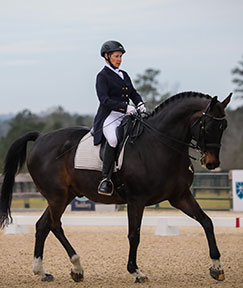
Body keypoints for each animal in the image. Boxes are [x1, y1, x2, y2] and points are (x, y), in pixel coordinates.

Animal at [0, 91, 232, 282]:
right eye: (207, 126)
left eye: (224, 127)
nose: (212, 163)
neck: (160, 144)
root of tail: (40, 138)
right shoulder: (136, 200)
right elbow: (134, 234)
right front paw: (136, 271)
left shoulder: (180, 196)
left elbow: (207, 222)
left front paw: (217, 268)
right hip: (57, 196)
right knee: (55, 226)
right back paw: (77, 268)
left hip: (64, 196)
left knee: (43, 225)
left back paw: (42, 271)